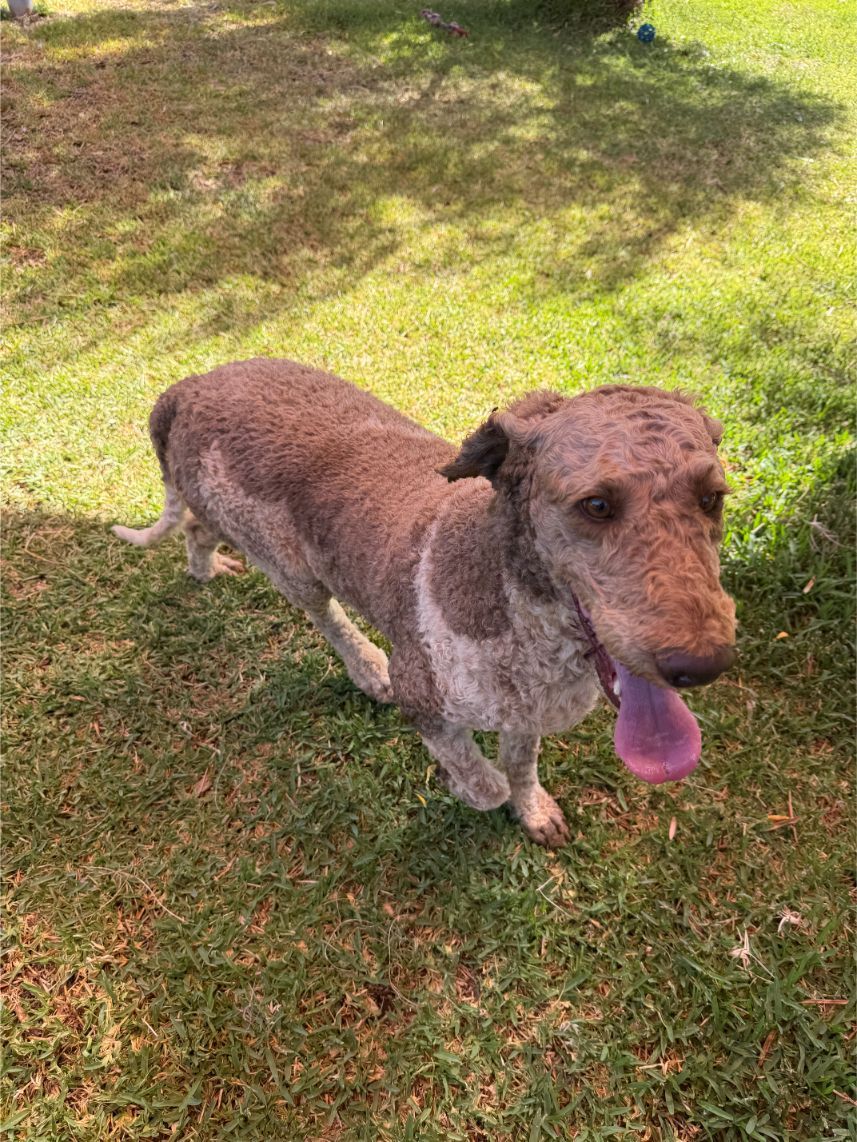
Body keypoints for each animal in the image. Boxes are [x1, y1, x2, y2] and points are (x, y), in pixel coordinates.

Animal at [113, 358, 736, 846]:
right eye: (597, 505)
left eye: (712, 498)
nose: (701, 665)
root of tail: (189, 387)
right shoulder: (425, 693)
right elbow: (483, 782)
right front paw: (470, 788)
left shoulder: (524, 711)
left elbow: (521, 768)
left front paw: (533, 812)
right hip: (289, 564)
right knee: (323, 613)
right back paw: (368, 668)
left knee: (195, 526)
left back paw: (203, 568)